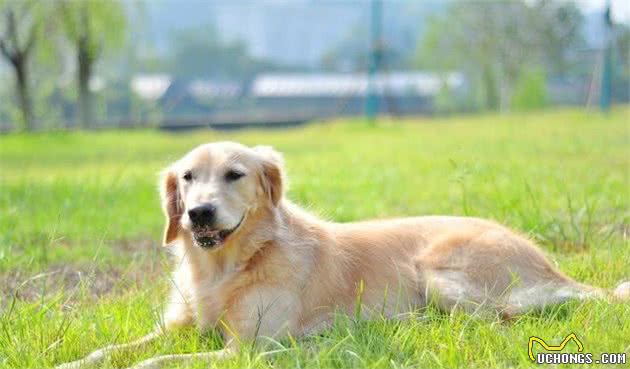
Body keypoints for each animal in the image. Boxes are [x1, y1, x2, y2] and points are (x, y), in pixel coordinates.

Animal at [58, 141, 630, 368]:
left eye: (234, 175)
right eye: (187, 178)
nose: (198, 213)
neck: (225, 268)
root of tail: (552, 266)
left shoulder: (247, 350)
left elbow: (157, 360)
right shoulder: (179, 326)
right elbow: (114, 349)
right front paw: (73, 360)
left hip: (437, 271)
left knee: (495, 322)